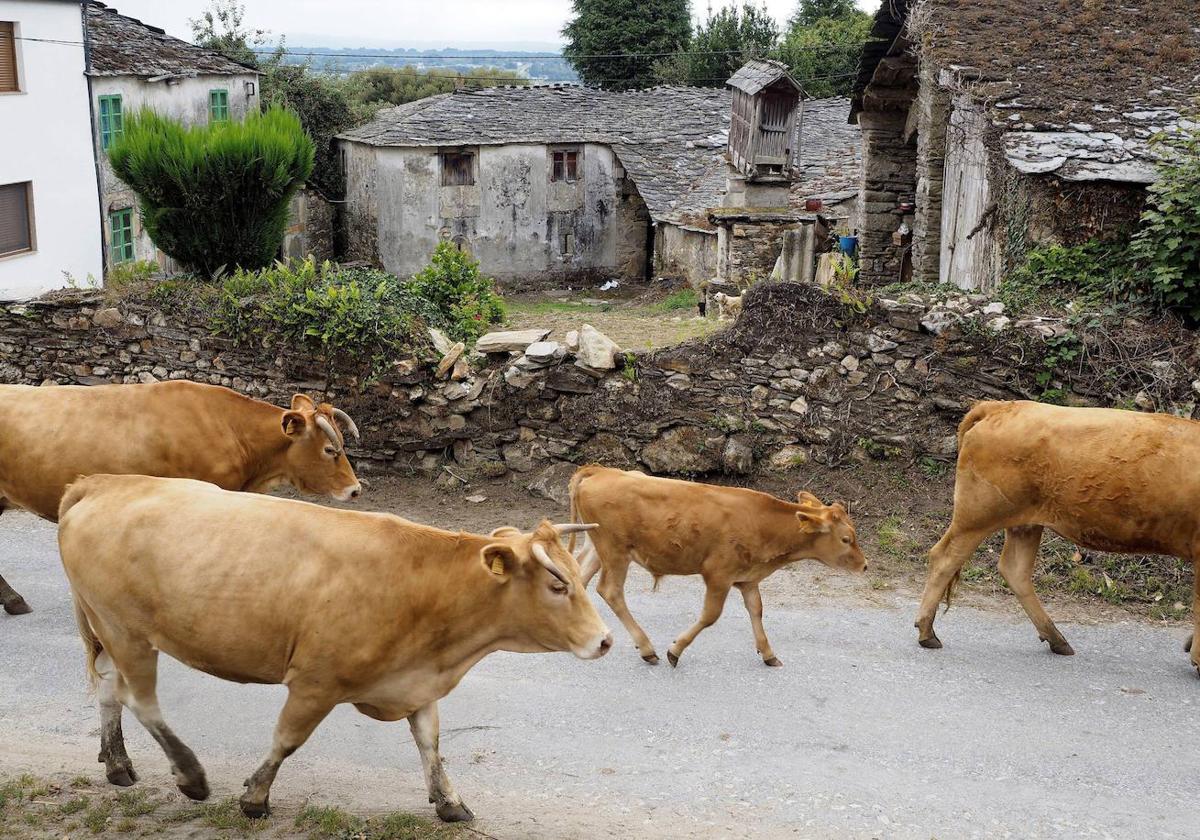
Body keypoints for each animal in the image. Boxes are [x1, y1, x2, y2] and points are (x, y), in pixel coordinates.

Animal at [56, 475, 609, 825]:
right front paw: (255, 798)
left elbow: (430, 741)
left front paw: (449, 801)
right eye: (557, 585)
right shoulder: (316, 682)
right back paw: (191, 777)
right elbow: (286, 740)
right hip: (127, 629)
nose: (604, 640)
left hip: (109, 629)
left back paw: (117, 764)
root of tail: (104, 482)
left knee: (109, 688)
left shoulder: (416, 680)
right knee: (140, 699)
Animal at [566, 465, 868, 667]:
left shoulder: (748, 578)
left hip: (598, 545)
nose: (865, 565)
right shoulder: (718, 575)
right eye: (846, 538)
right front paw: (676, 650)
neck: (763, 523)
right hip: (615, 551)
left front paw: (768, 653)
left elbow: (756, 610)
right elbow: (710, 615)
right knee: (610, 591)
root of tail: (600, 470)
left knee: (579, 577)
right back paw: (646, 647)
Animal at [916, 400, 1200, 676]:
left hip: (1024, 524)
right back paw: (927, 632)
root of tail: (999, 406)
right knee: (945, 558)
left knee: (1015, 570)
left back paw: (1056, 638)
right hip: (977, 516)